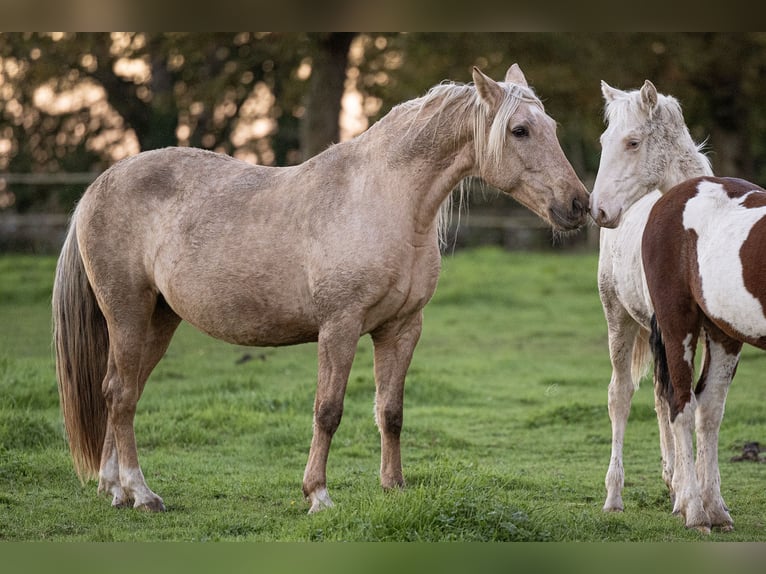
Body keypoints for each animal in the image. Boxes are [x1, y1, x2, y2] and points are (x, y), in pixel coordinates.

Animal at [54, 65, 592, 516]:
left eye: (552, 127)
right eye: (520, 131)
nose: (578, 204)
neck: (384, 201)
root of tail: (99, 185)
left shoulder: (402, 328)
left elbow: (390, 412)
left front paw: (393, 488)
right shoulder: (340, 326)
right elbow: (328, 412)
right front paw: (318, 495)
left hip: (159, 319)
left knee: (118, 394)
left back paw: (115, 489)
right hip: (128, 312)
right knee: (122, 394)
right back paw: (142, 494)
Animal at [592, 80, 712, 512]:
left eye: (633, 142)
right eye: (603, 141)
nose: (598, 209)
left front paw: (695, 490)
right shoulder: (666, 326)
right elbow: (671, 397)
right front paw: (689, 497)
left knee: (661, 398)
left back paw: (672, 479)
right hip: (619, 318)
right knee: (621, 395)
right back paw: (613, 495)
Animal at [640, 177, 766, 536]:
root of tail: (669, 198)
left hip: (724, 333)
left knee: (708, 410)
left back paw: (715, 511)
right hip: (677, 324)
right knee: (681, 405)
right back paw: (695, 512)